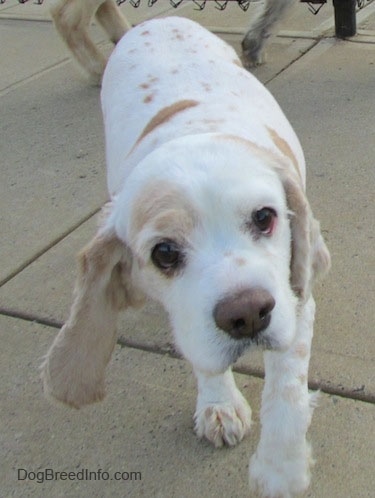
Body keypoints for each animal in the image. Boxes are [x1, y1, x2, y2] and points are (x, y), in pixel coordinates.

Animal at [42, 17, 330, 498]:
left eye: (265, 217)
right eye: (164, 252)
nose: (247, 315)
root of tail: (157, 19)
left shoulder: (295, 298)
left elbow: (286, 392)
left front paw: (280, 469)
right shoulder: (188, 314)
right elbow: (200, 351)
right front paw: (219, 405)